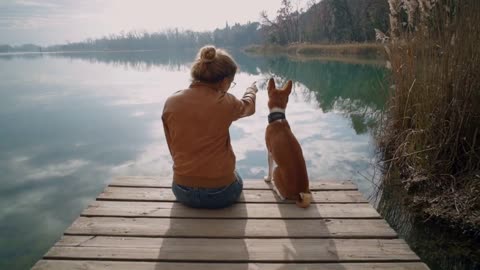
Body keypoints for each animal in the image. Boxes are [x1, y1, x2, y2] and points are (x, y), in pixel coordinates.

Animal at [262, 78, 312, 209]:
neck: (278, 119)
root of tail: (298, 193)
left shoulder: (269, 153)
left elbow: (269, 169)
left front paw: (268, 179)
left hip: (277, 170)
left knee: (283, 196)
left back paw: (275, 189)